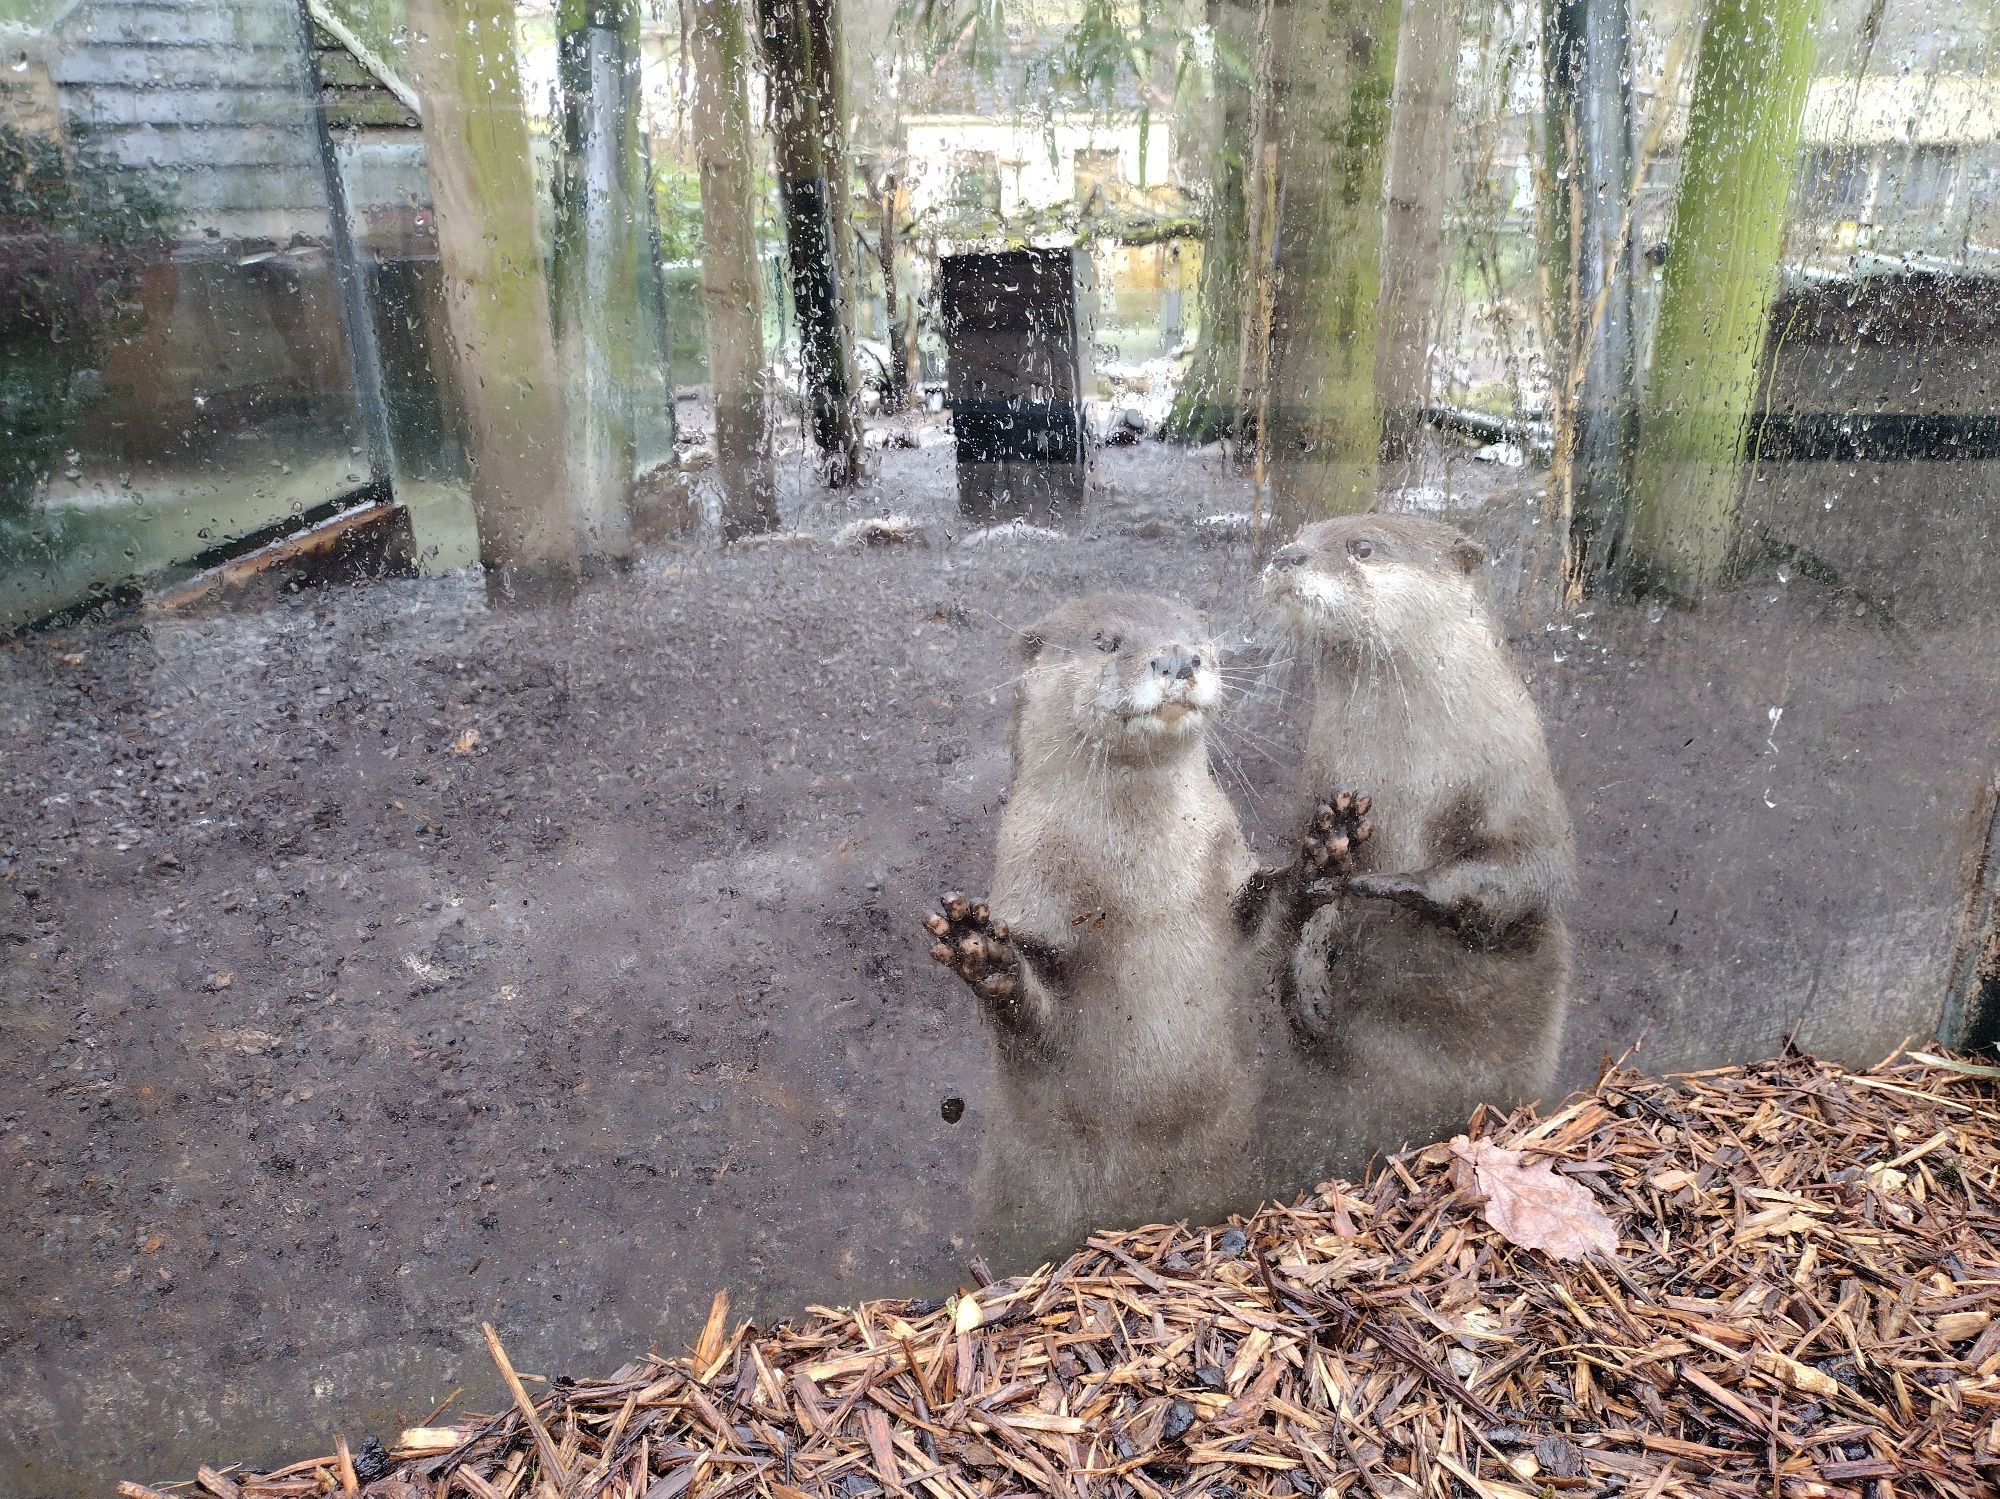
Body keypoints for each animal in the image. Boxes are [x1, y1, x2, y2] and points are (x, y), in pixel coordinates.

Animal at [924, 591, 1264, 1271]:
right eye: (1107, 641)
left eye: (1201, 636)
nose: (1179, 658)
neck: (1144, 890)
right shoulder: (1031, 885)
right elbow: (1033, 1027)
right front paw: (988, 957)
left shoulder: (1224, 852)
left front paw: (1326, 858)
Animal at [1264, 515, 1576, 1175]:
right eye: (1300, 533)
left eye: (1362, 548)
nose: (1286, 556)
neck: (1410, 777)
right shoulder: (1319, 779)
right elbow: (1303, 903)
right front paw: (1327, 854)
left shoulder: (1521, 786)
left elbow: (1527, 872)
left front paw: (1397, 883)